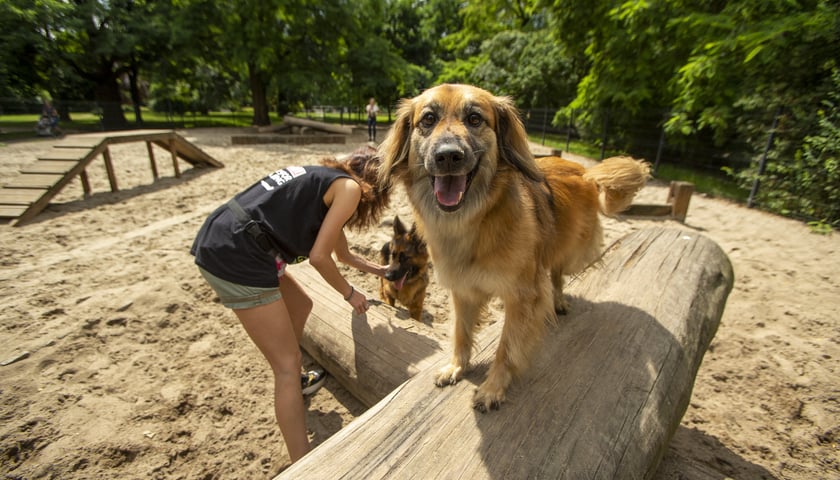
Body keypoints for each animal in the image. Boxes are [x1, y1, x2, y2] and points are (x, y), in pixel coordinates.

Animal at [378, 83, 648, 412]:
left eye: (475, 119)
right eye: (428, 119)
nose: (448, 156)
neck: (474, 222)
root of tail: (582, 170)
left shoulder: (522, 296)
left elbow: (507, 347)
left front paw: (492, 388)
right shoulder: (463, 290)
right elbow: (461, 333)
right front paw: (456, 367)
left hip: (568, 247)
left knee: (557, 272)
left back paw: (558, 300)